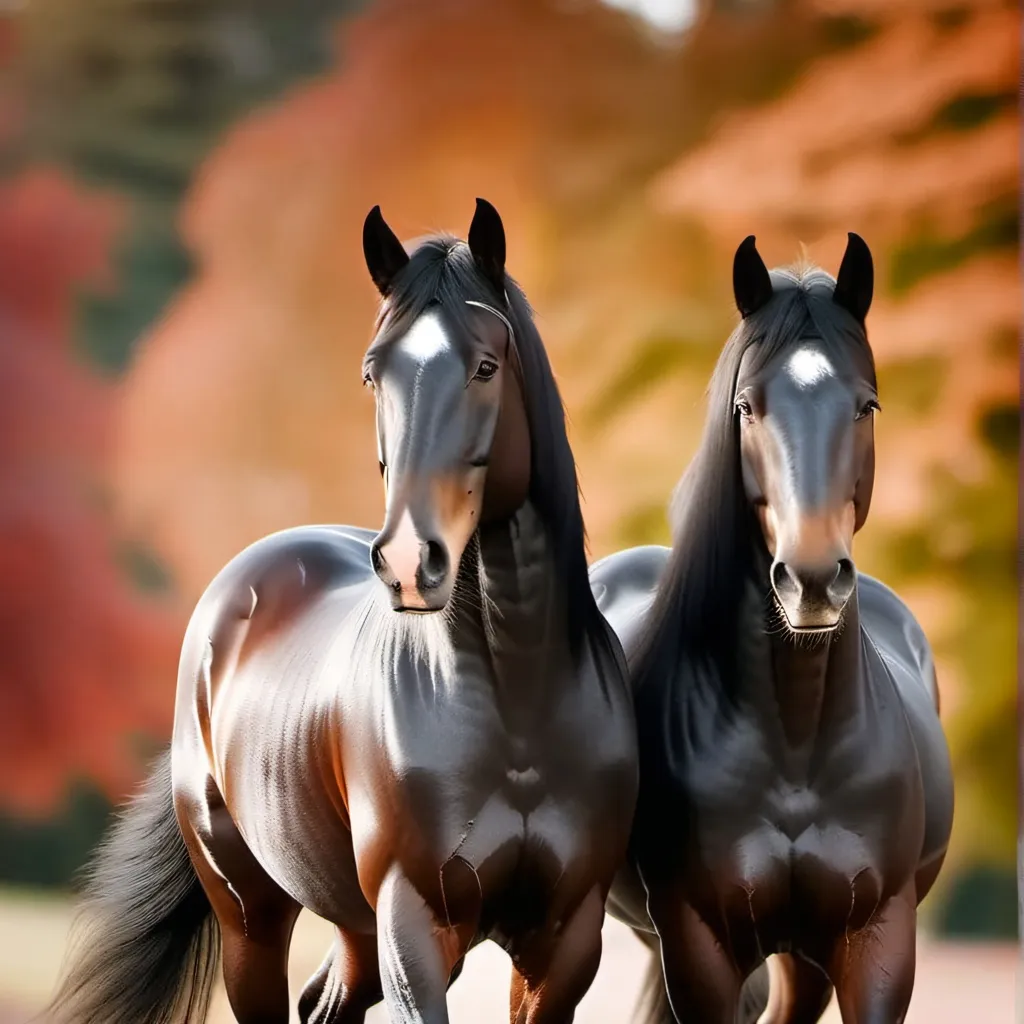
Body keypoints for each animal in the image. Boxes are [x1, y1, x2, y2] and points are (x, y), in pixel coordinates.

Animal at [48, 199, 638, 1024]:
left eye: (486, 366)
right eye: (372, 372)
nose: (410, 562)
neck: (517, 702)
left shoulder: (566, 939)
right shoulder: (414, 927)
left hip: (353, 928)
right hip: (253, 917)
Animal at [591, 233, 954, 1024]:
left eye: (866, 405)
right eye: (748, 406)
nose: (813, 580)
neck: (796, 743)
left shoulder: (877, 943)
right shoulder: (701, 948)